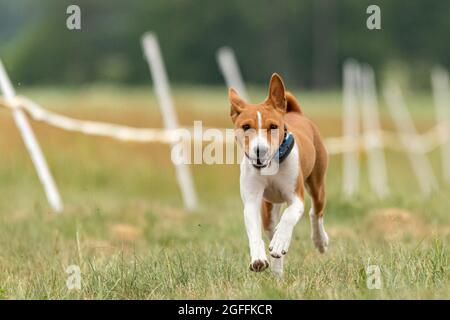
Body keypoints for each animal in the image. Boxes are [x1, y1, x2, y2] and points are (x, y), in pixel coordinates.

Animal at [230, 74, 328, 276]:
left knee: (316, 211)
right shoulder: (252, 201)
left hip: (317, 185)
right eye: (246, 126)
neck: (270, 167)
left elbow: (289, 216)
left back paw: (319, 240)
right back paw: (277, 271)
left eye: (273, 126)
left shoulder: (296, 197)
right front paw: (258, 258)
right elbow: (254, 231)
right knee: (270, 229)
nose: (260, 150)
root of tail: (297, 114)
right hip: (269, 207)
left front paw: (281, 240)